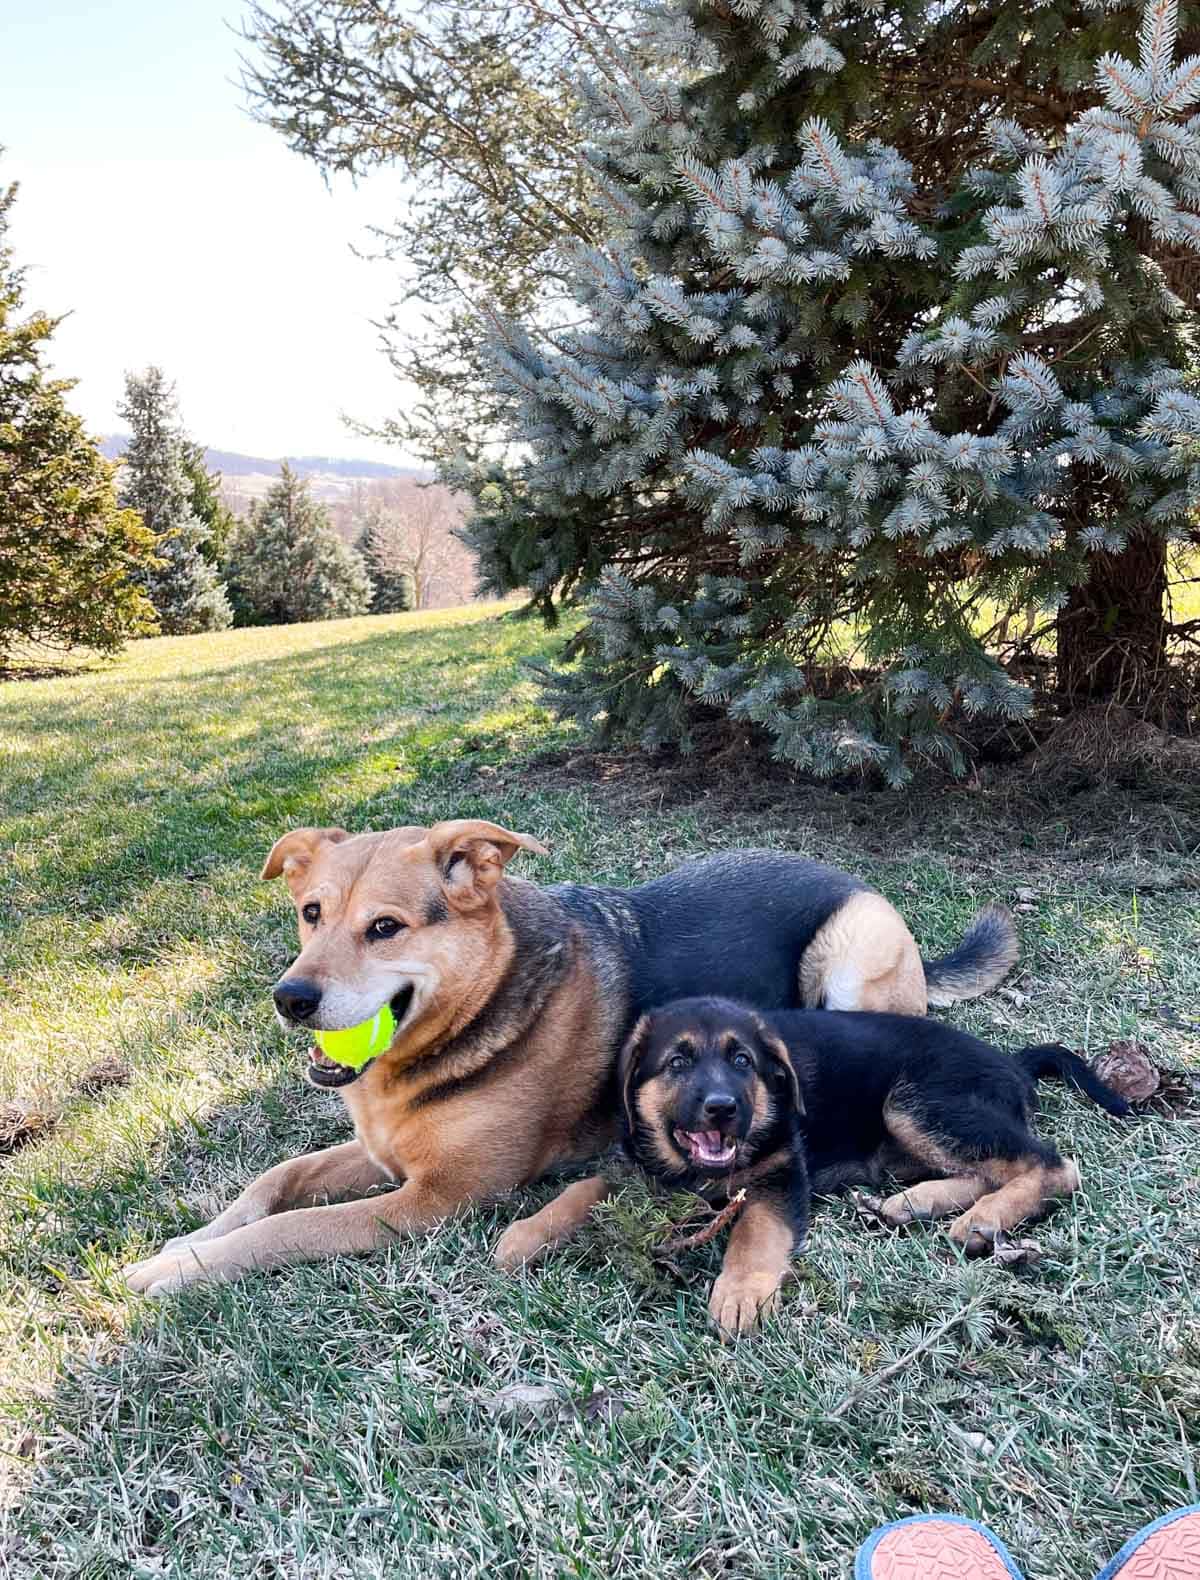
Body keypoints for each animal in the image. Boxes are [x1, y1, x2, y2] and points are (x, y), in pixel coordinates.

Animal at [124, 815, 1011, 1295]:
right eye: (311, 913)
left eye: (385, 928)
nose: (291, 998)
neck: (477, 1007)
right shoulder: (383, 1156)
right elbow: (274, 1182)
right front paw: (185, 1241)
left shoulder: (431, 1201)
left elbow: (288, 1230)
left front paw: (180, 1270)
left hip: (850, 959)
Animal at [613, 998, 1132, 1333]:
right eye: (677, 1063)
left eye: (742, 1061)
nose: (723, 1108)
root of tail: (1013, 1063)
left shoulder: (782, 1171)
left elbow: (755, 1233)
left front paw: (740, 1293)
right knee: (984, 1169)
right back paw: (915, 1204)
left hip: (916, 1102)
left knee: (1053, 1166)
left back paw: (984, 1218)